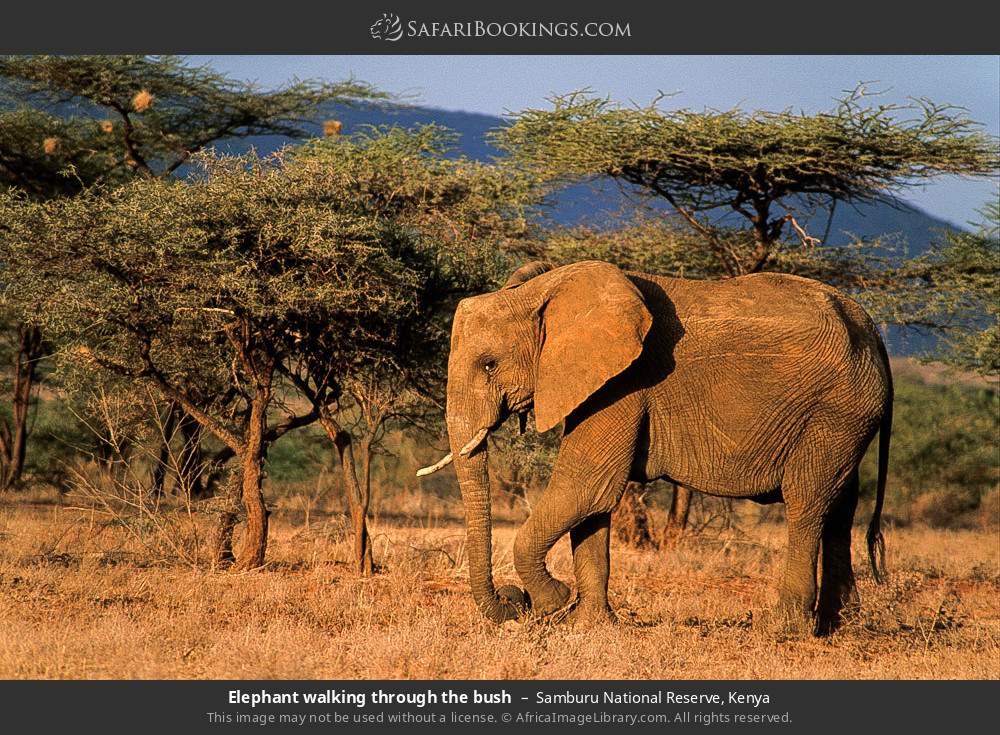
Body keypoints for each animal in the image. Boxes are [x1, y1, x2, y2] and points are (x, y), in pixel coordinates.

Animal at [414, 262, 892, 636]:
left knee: (807, 503)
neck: (546, 289)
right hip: (846, 418)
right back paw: (838, 625)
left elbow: (584, 486)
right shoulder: (598, 383)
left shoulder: (624, 383)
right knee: (839, 506)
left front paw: (554, 601)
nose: (515, 603)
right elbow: (593, 504)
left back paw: (783, 628)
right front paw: (588, 626)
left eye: (489, 364)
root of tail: (871, 328)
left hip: (833, 412)